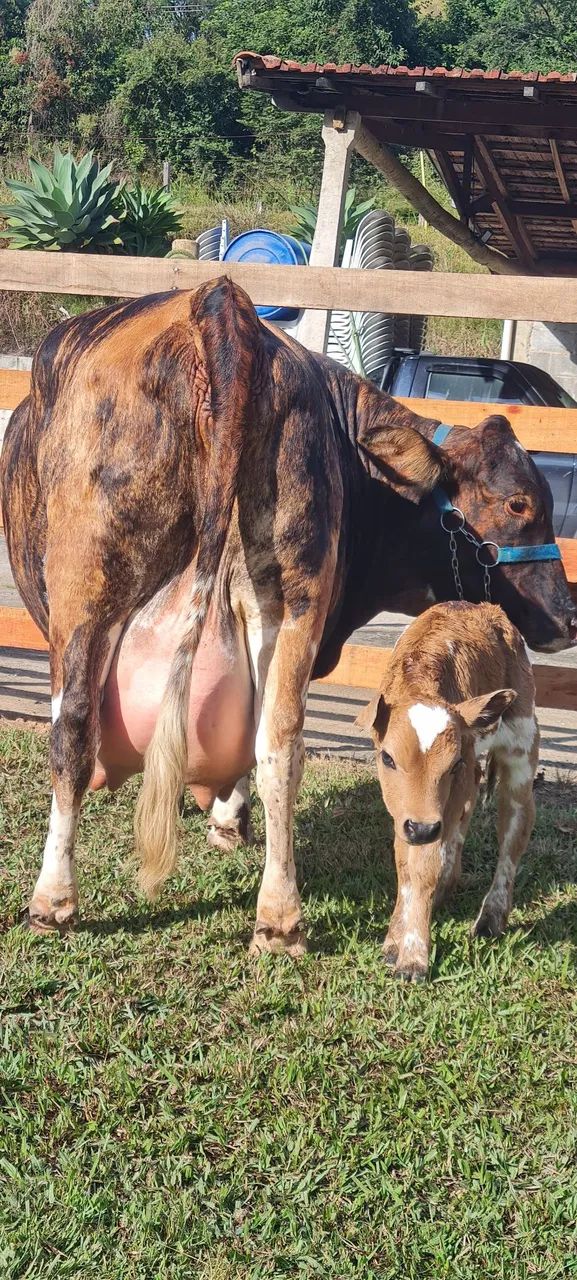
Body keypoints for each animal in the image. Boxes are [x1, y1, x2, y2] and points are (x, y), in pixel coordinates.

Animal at [356, 601, 538, 980]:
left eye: (453, 762)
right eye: (387, 758)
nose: (423, 828)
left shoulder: (443, 798)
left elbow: (424, 867)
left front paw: (413, 957)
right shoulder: (405, 812)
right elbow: (405, 864)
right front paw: (395, 938)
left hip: (521, 751)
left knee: (514, 831)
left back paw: (490, 918)